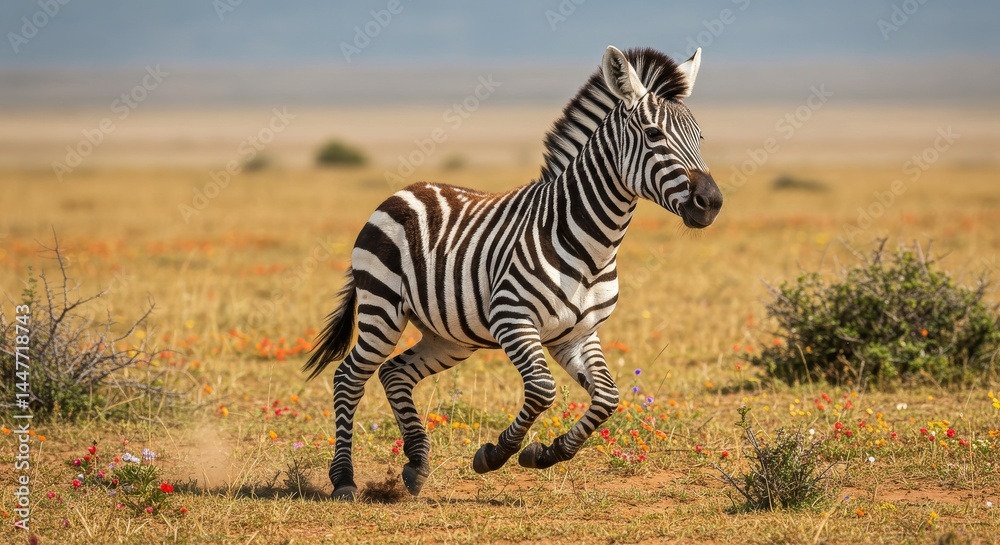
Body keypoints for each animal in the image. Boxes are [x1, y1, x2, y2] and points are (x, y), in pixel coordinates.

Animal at [304, 45, 722, 500]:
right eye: (652, 134)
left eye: (700, 137)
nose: (711, 203)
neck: (592, 246)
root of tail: (404, 191)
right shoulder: (513, 320)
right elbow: (543, 389)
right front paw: (496, 454)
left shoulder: (578, 334)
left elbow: (608, 398)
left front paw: (547, 453)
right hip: (382, 309)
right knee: (349, 377)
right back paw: (344, 479)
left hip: (449, 335)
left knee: (395, 372)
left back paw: (416, 464)